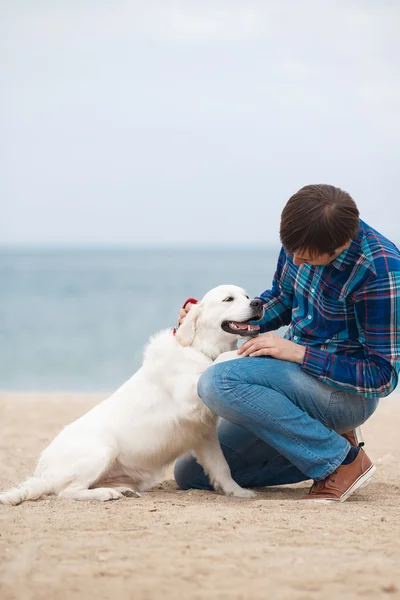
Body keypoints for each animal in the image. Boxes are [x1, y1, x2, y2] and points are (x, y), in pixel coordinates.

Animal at [0, 286, 264, 506]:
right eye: (228, 299)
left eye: (247, 295)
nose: (259, 302)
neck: (197, 347)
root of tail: (44, 472)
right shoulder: (188, 396)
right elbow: (217, 363)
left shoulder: (204, 434)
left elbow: (222, 467)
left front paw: (238, 491)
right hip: (101, 450)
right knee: (68, 491)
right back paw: (106, 494)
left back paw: (121, 490)